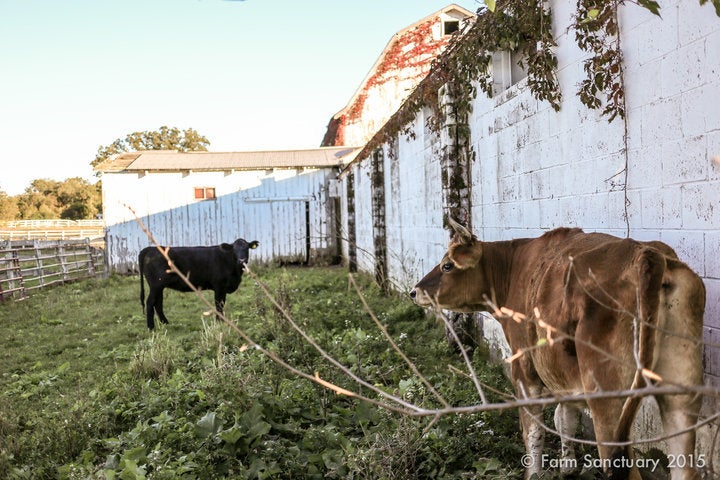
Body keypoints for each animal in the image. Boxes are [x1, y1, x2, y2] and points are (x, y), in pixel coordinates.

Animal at [410, 221, 704, 480]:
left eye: (447, 265)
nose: (414, 291)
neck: (513, 268)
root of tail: (647, 254)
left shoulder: (524, 368)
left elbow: (533, 430)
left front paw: (533, 473)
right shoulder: (563, 374)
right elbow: (564, 417)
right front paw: (568, 467)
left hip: (607, 398)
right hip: (680, 390)